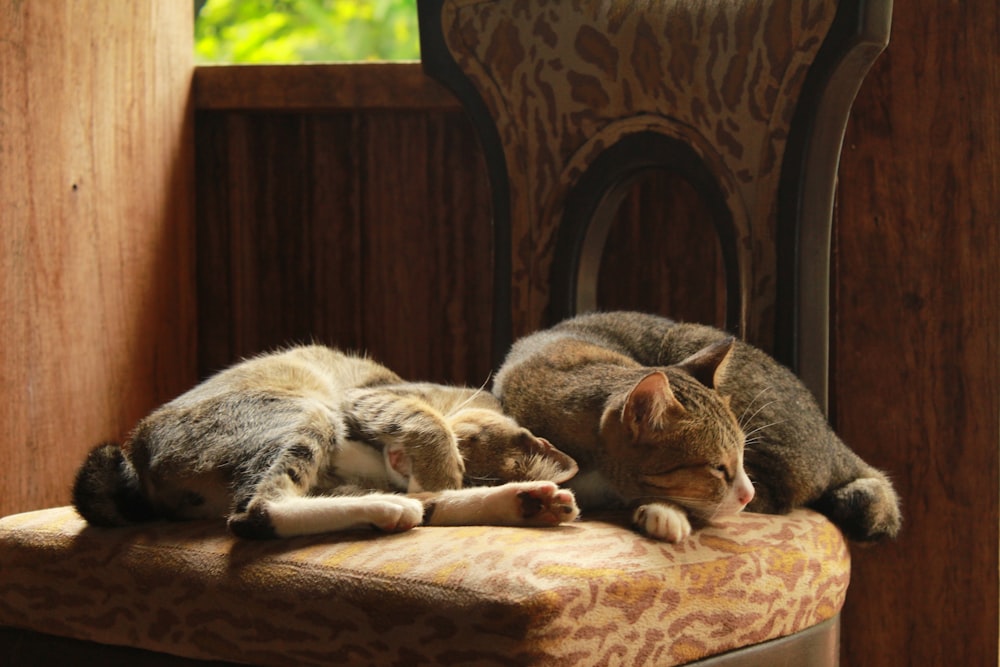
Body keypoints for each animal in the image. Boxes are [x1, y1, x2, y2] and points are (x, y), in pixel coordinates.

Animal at [74, 344, 580, 536]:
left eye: (477, 472)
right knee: (256, 511)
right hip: (304, 411)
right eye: (466, 446)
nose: (405, 466)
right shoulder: (368, 398)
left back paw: (528, 502)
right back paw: (390, 507)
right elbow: (427, 420)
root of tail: (136, 459)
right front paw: (439, 465)